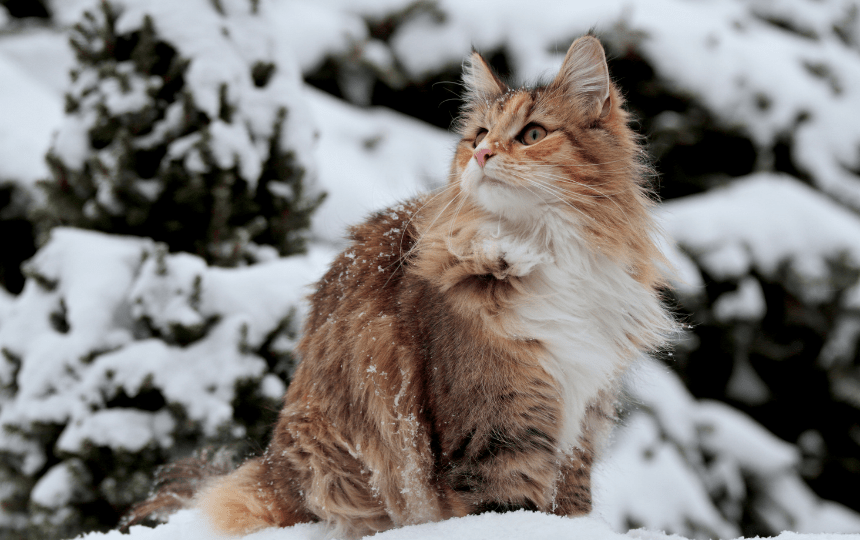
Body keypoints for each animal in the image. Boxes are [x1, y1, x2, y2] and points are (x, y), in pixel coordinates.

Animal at [131, 35, 676, 536]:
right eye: (479, 134)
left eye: (533, 133)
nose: (481, 154)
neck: (542, 249)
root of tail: (270, 465)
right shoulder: (496, 429)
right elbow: (508, 511)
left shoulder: (581, 419)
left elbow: (570, 508)